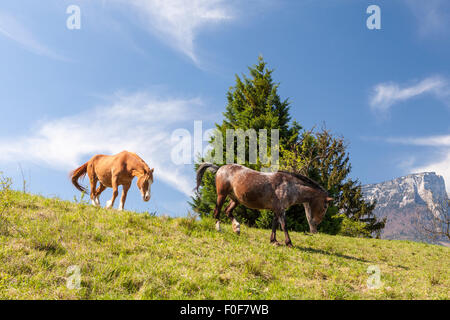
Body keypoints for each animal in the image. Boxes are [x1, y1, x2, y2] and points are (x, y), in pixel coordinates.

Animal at [195, 164, 332, 246]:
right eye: (325, 207)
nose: (316, 224)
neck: (289, 185)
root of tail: (220, 168)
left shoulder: (277, 210)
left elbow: (274, 225)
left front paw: (274, 241)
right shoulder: (281, 210)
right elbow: (284, 225)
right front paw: (288, 243)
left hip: (235, 199)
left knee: (228, 211)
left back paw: (237, 228)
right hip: (221, 195)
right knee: (217, 212)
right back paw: (219, 228)